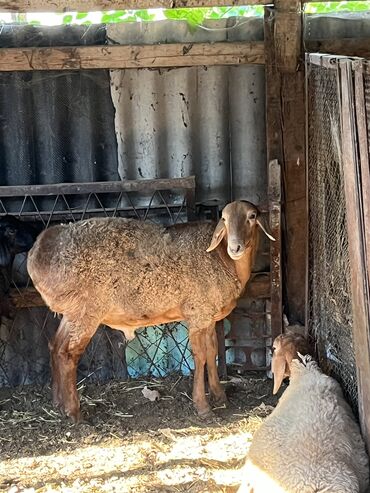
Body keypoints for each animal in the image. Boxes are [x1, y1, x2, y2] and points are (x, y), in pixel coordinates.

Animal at [26, 198, 274, 420]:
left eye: (252, 217)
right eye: (224, 218)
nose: (235, 247)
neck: (223, 260)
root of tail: (37, 253)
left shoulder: (209, 317)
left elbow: (212, 352)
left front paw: (220, 395)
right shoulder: (197, 312)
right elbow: (200, 356)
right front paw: (203, 407)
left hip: (72, 312)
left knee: (55, 346)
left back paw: (57, 403)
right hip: (85, 311)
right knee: (68, 353)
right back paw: (74, 412)